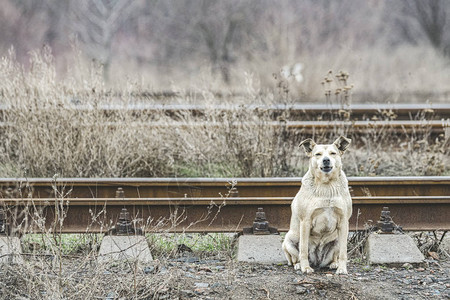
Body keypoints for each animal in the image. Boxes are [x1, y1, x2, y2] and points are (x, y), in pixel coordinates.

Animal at [282, 136, 352, 274]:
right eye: (318, 154)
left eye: (333, 153)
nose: (326, 160)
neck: (327, 185)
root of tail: (318, 260)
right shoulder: (306, 221)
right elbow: (303, 249)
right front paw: (305, 268)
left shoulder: (343, 222)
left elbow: (343, 252)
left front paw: (342, 269)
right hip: (289, 240)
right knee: (295, 257)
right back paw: (299, 265)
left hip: (337, 239)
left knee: (334, 255)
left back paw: (334, 264)